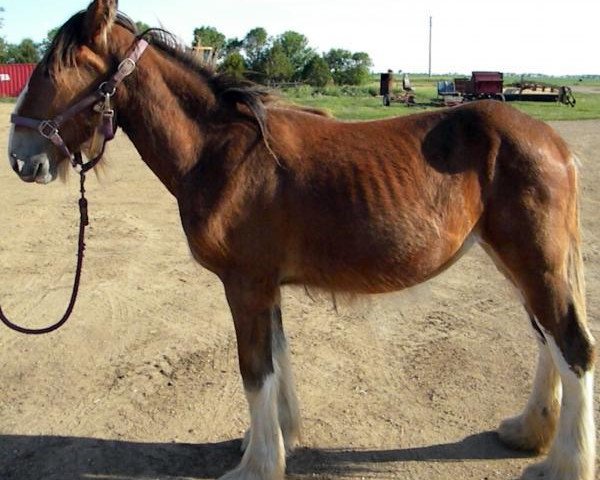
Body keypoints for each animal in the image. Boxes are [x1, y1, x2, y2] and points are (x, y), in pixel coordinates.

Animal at [8, 1, 596, 478]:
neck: (220, 153)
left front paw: (257, 466)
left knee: (572, 347)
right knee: (546, 340)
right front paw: (279, 439)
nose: (19, 158)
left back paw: (563, 465)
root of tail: (553, 142)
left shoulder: (245, 285)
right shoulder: (265, 286)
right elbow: (277, 358)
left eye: (51, 70)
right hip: (516, 261)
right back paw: (527, 432)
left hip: (535, 262)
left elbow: (254, 370)